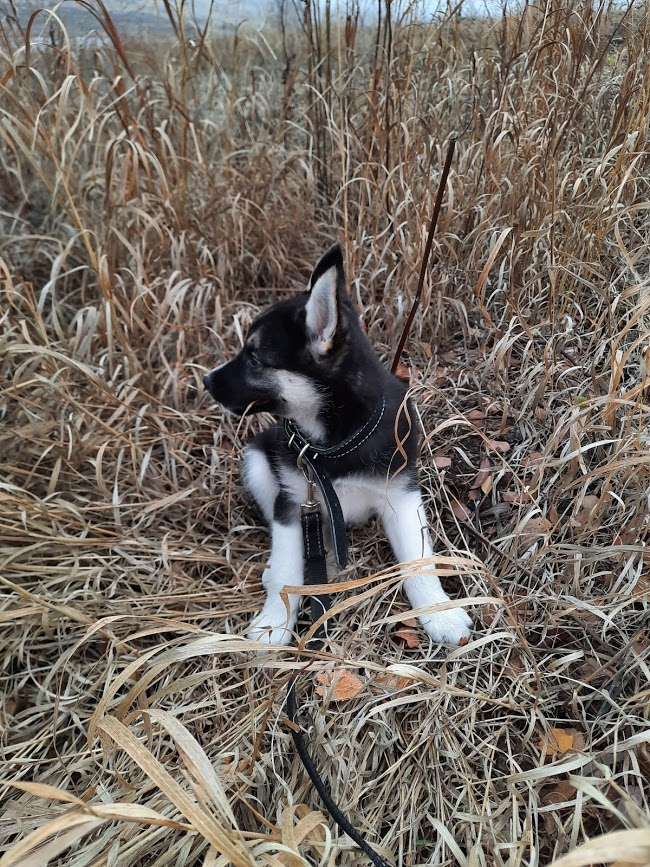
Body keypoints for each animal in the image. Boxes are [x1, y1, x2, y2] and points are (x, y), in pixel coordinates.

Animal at [204, 242, 470, 644]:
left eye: (254, 357)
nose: (206, 380)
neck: (333, 441)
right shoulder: (292, 501)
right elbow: (287, 573)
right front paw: (275, 623)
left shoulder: (401, 495)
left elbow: (418, 562)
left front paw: (440, 614)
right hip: (257, 462)